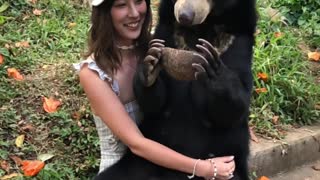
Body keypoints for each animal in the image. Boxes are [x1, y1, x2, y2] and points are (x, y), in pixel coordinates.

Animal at [95, 0, 258, 180]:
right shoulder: (167, 31)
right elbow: (156, 103)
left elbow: (234, 108)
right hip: (144, 162)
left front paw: (213, 68)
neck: (202, 27)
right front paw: (149, 67)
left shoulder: (236, 40)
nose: (185, 16)